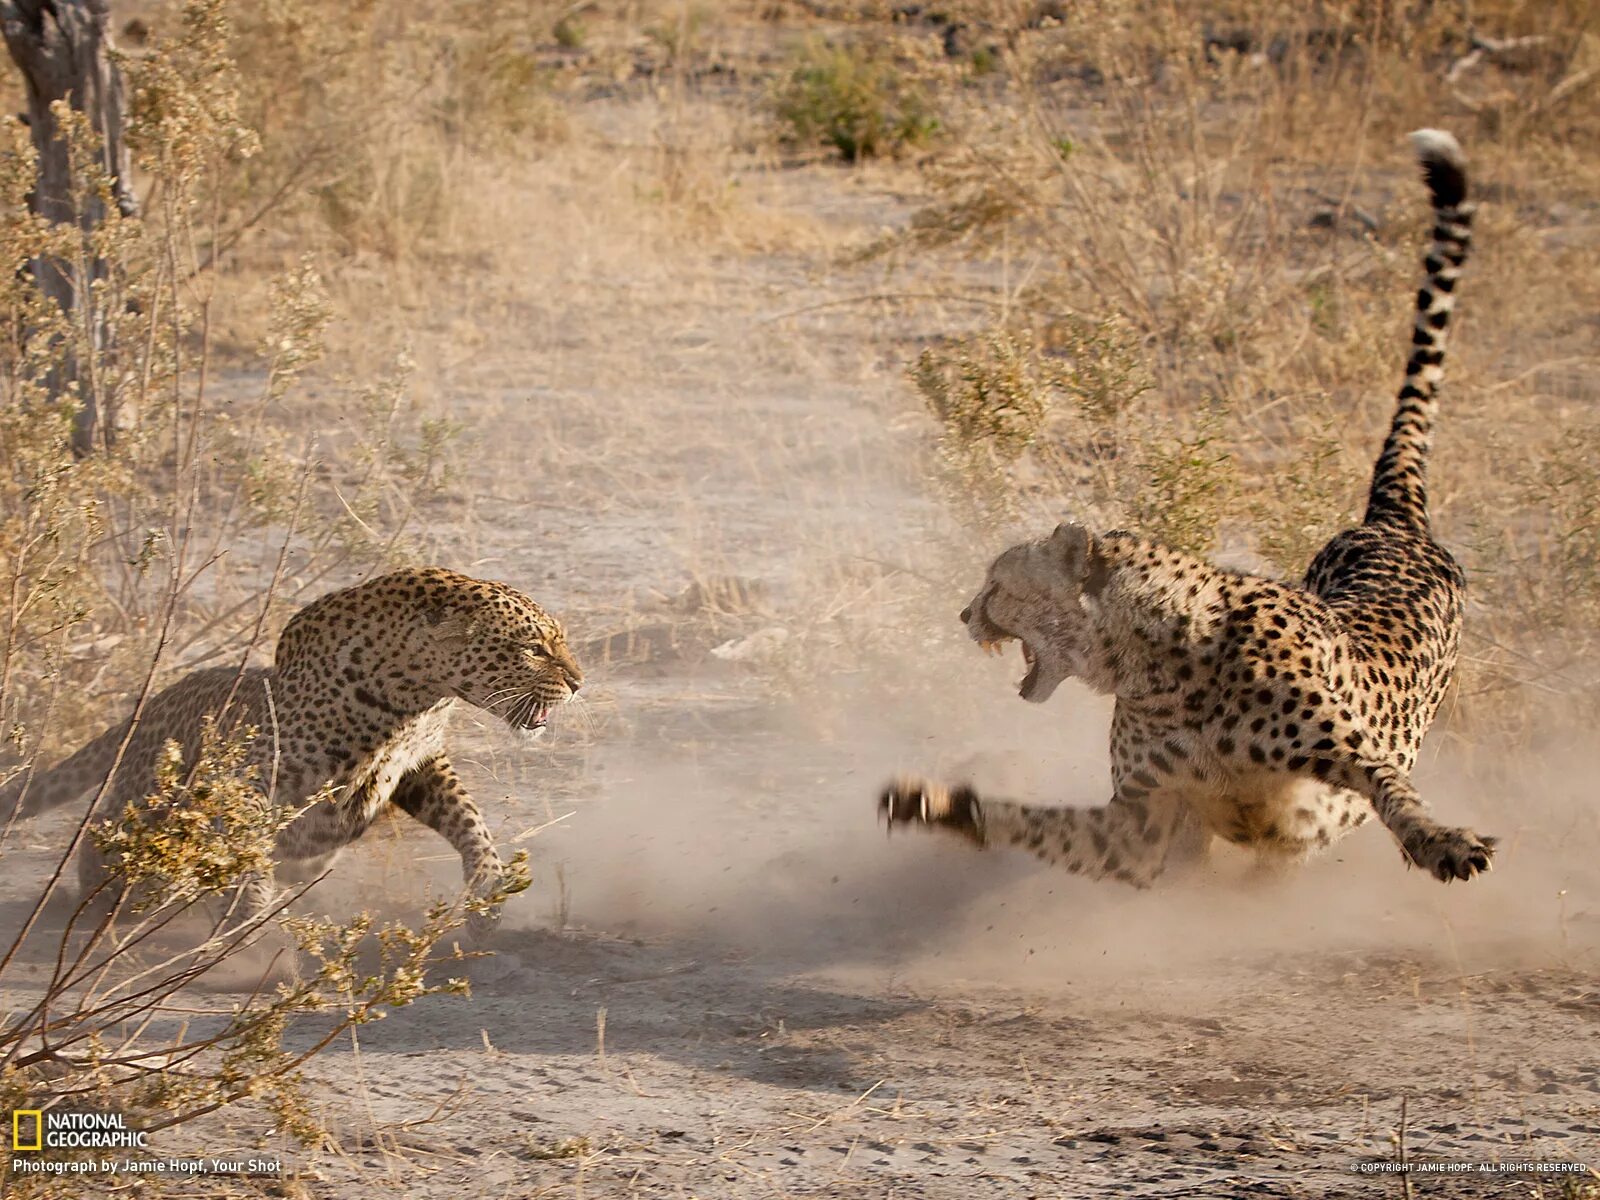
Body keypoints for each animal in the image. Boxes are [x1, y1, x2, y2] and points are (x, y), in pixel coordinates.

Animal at [0, 569, 588, 947]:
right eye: (534, 648)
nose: (579, 682)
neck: (413, 697)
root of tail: (151, 704)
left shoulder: (419, 764)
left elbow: (470, 822)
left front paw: (487, 895)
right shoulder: (253, 773)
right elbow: (246, 847)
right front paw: (248, 921)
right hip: (141, 809)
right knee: (109, 847)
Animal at [883, 131, 1491, 889]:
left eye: (998, 583)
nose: (965, 614)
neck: (1161, 665)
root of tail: (1390, 522)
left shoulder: (1344, 755)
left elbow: (1388, 786)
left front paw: (1442, 841)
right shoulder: (1143, 831)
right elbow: (1036, 822)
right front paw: (936, 805)